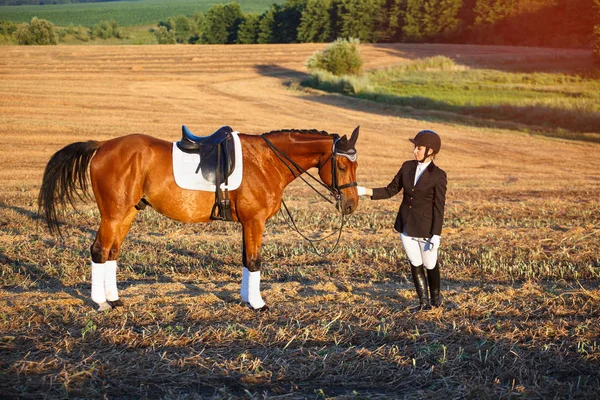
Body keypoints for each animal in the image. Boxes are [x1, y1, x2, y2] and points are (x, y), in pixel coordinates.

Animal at [38, 128, 360, 312]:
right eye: (343, 166)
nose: (351, 204)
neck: (266, 161)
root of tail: (102, 145)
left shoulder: (247, 224)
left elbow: (245, 260)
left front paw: (246, 299)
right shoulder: (255, 221)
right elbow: (255, 261)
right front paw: (258, 304)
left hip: (126, 213)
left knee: (112, 252)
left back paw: (114, 299)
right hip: (113, 214)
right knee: (98, 251)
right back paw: (100, 303)